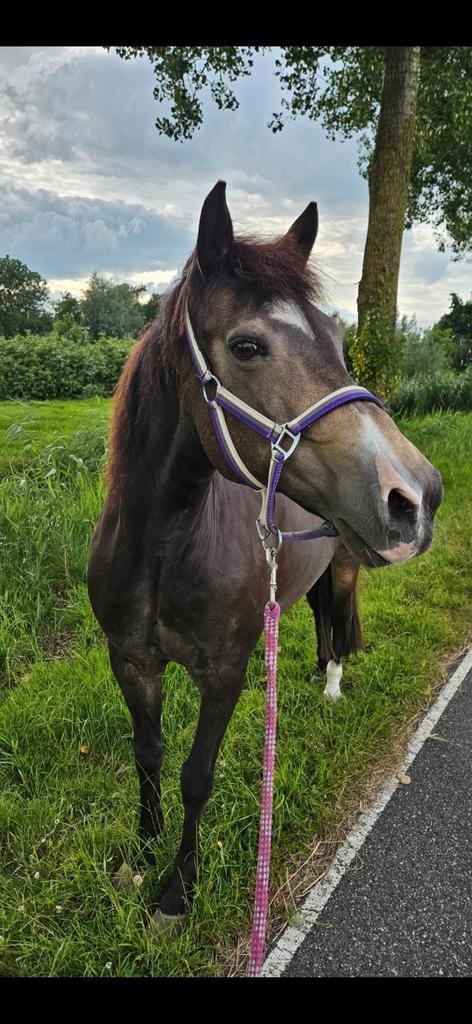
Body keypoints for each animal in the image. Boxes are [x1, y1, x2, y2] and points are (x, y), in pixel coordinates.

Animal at [88, 181, 443, 931]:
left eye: (338, 341)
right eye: (248, 345)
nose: (416, 493)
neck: (163, 549)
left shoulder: (225, 671)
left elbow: (196, 775)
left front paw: (178, 890)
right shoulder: (130, 662)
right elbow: (148, 756)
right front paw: (142, 853)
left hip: (344, 565)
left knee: (338, 619)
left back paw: (331, 685)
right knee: (317, 619)